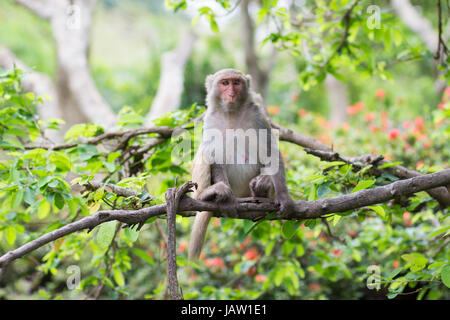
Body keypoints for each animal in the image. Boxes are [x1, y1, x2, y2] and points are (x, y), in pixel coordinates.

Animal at [188, 68, 294, 260]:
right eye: (225, 83)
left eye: (236, 83)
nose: (231, 93)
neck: (231, 113)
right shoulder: (210, 119)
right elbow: (213, 155)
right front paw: (227, 201)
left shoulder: (257, 116)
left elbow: (271, 151)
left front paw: (284, 197)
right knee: (203, 153)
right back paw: (205, 195)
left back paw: (261, 190)